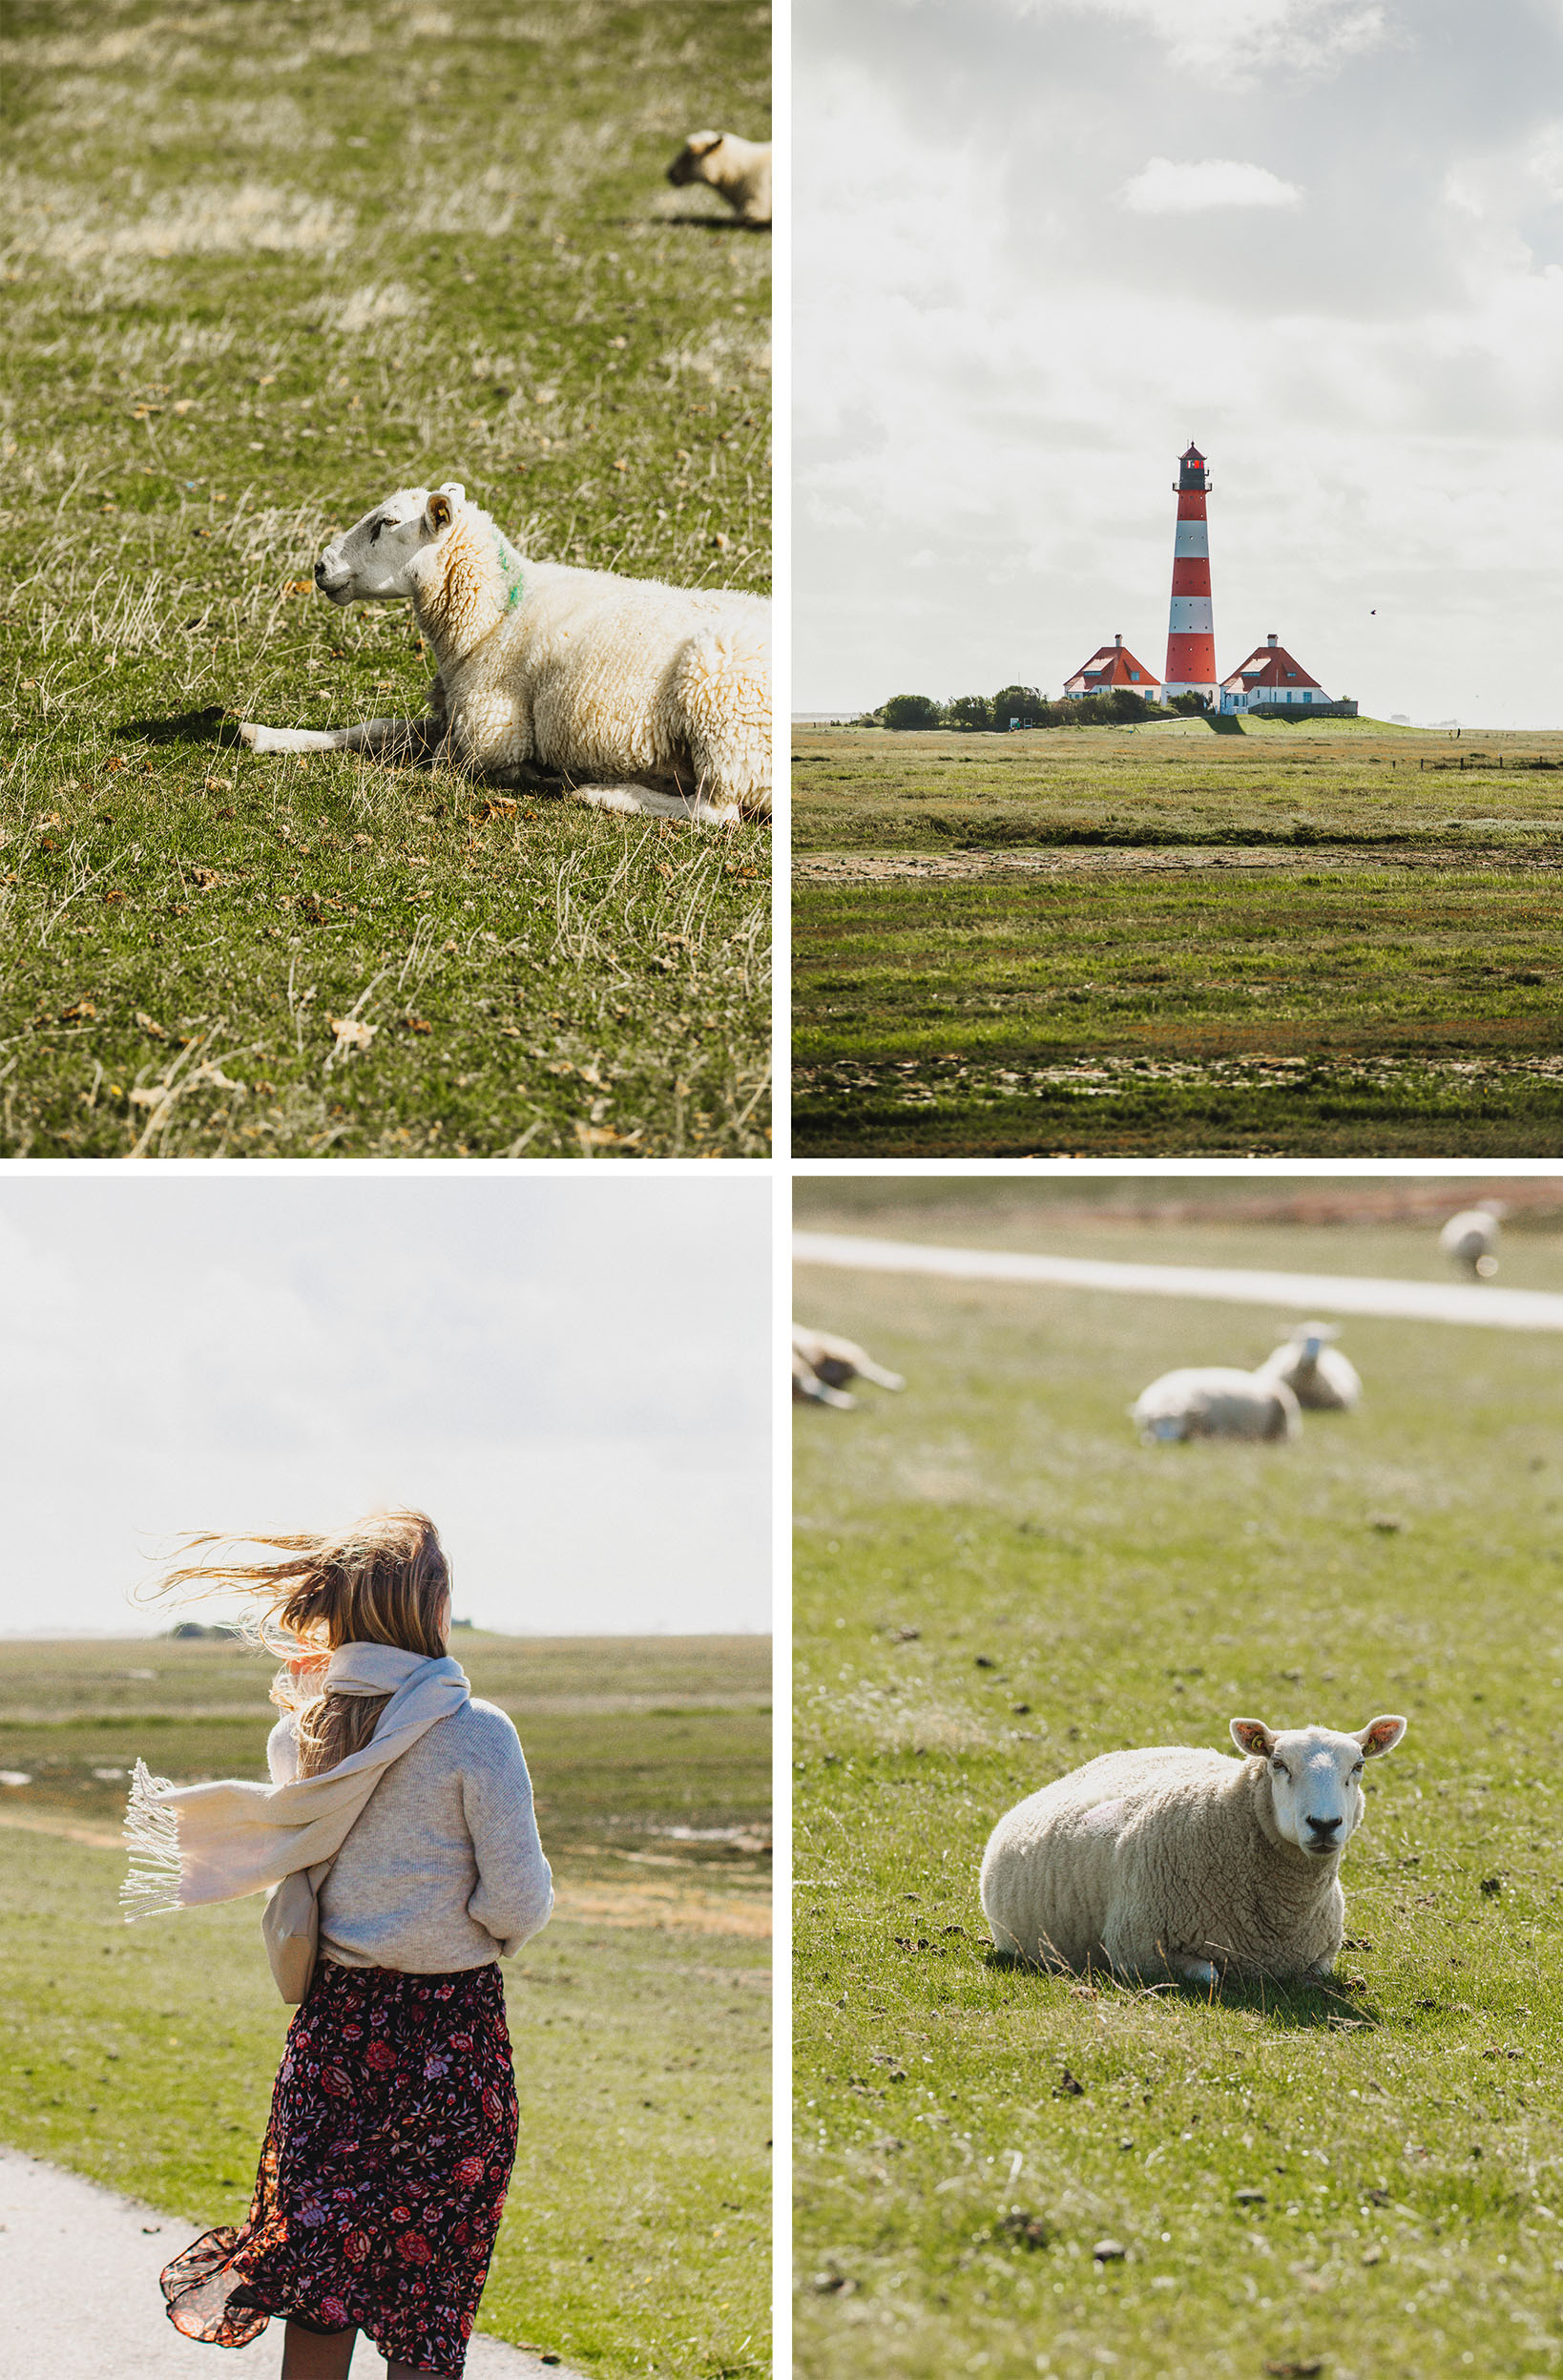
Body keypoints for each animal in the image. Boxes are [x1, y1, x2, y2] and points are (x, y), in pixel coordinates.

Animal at [240, 478, 770, 823]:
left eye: (386, 523)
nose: (320, 567)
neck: (492, 618)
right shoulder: (454, 713)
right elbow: (373, 728)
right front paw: (265, 736)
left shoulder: (489, 734)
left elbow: (434, 756)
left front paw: (535, 774)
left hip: (725, 718)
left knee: (718, 812)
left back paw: (605, 793)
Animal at [980, 1713, 1407, 1989]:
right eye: (1278, 1764)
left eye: (1359, 1765)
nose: (1324, 1824)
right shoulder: (1138, 1948)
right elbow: (1210, 1975)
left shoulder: (1321, 1955)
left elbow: (1315, 1976)